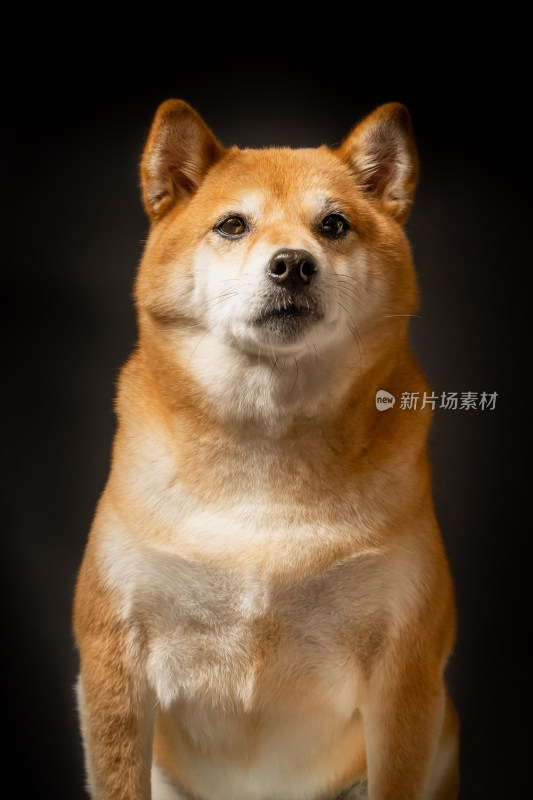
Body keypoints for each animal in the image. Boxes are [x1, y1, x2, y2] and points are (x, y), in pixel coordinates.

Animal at [72, 97, 460, 796]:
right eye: (232, 224)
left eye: (333, 225)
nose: (292, 263)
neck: (267, 444)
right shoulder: (114, 657)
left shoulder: (407, 670)